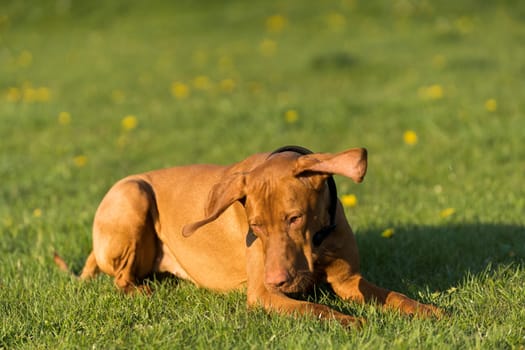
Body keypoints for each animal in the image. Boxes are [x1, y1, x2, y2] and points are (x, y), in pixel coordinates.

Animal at [55, 146, 440, 328]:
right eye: (255, 228)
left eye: (295, 218)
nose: (277, 280)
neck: (316, 241)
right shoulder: (263, 295)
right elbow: (317, 309)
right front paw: (352, 322)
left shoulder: (349, 281)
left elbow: (394, 296)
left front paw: (430, 311)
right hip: (132, 192)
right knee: (121, 278)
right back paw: (141, 290)